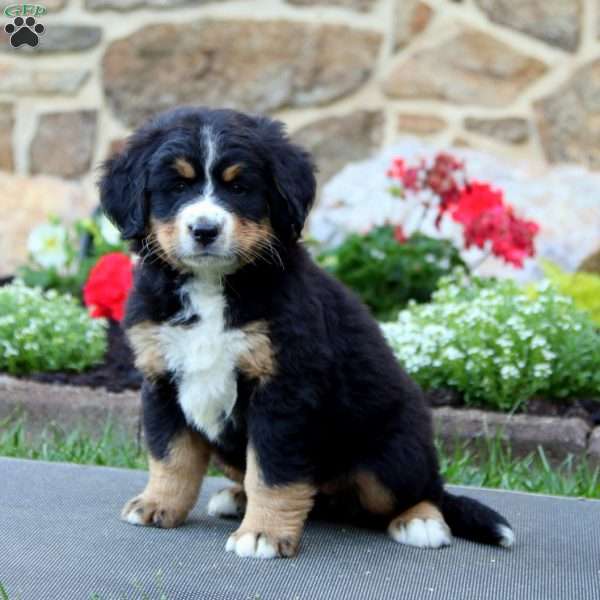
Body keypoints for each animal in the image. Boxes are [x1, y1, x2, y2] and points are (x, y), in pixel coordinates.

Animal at [101, 106, 512, 556]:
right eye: (176, 186)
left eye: (239, 186)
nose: (204, 230)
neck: (213, 285)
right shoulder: (161, 377)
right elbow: (171, 456)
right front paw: (157, 504)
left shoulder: (285, 389)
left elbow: (273, 471)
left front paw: (262, 533)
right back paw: (236, 498)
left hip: (390, 455)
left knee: (424, 489)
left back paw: (421, 521)